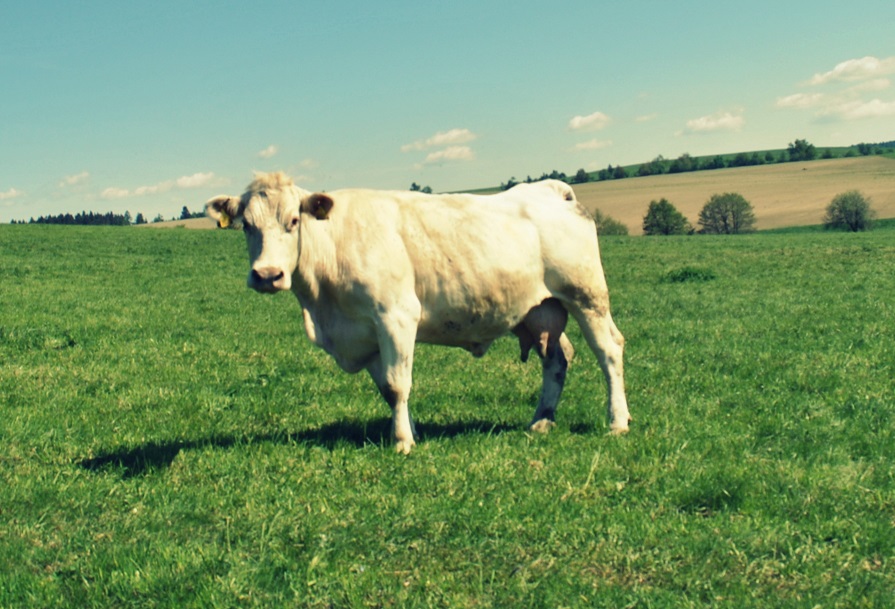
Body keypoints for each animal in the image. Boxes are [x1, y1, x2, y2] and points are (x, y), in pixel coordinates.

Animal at [207, 172, 630, 454]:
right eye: (246, 226)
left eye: (293, 221)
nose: (267, 275)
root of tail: (550, 188)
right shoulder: (365, 334)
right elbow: (388, 389)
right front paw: (410, 430)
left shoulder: (395, 315)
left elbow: (398, 384)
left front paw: (402, 443)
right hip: (541, 308)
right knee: (557, 358)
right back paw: (541, 420)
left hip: (586, 295)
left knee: (608, 351)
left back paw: (617, 422)